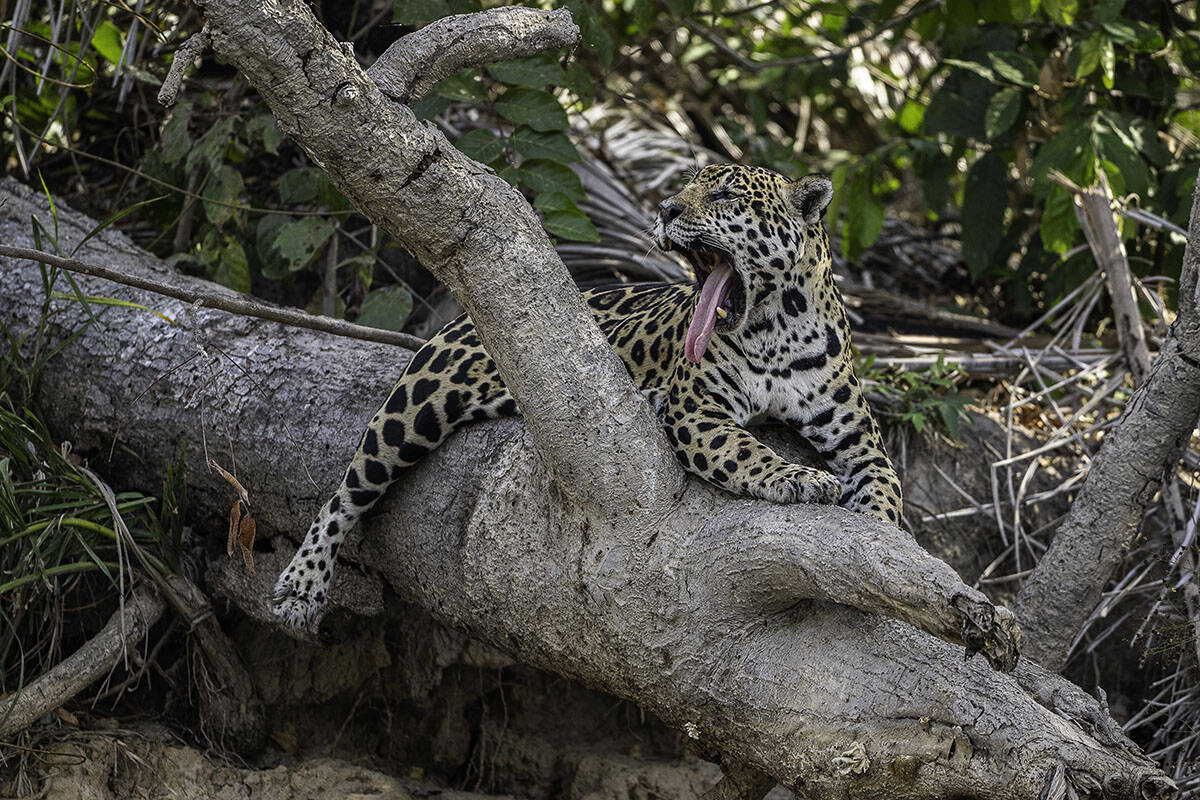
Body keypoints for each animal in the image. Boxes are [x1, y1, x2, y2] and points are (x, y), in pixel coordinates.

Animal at [272, 164, 903, 630]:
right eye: (684, 188)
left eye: (723, 194)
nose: (666, 210)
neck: (777, 328)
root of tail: (457, 315)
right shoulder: (697, 409)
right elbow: (746, 449)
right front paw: (799, 478)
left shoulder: (859, 438)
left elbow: (885, 489)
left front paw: (877, 546)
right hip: (416, 405)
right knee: (346, 492)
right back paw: (301, 586)